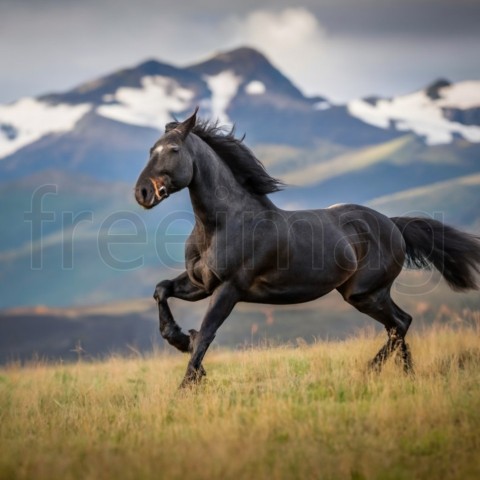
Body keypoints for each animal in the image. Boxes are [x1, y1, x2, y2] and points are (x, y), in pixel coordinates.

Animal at [134, 108, 480, 386]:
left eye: (174, 149)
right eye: (150, 150)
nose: (142, 193)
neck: (222, 224)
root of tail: (393, 225)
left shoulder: (228, 288)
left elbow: (207, 333)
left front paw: (187, 386)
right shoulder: (200, 284)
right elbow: (162, 290)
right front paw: (181, 340)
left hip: (365, 293)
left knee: (399, 324)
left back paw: (372, 371)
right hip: (368, 294)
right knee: (399, 324)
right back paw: (405, 374)